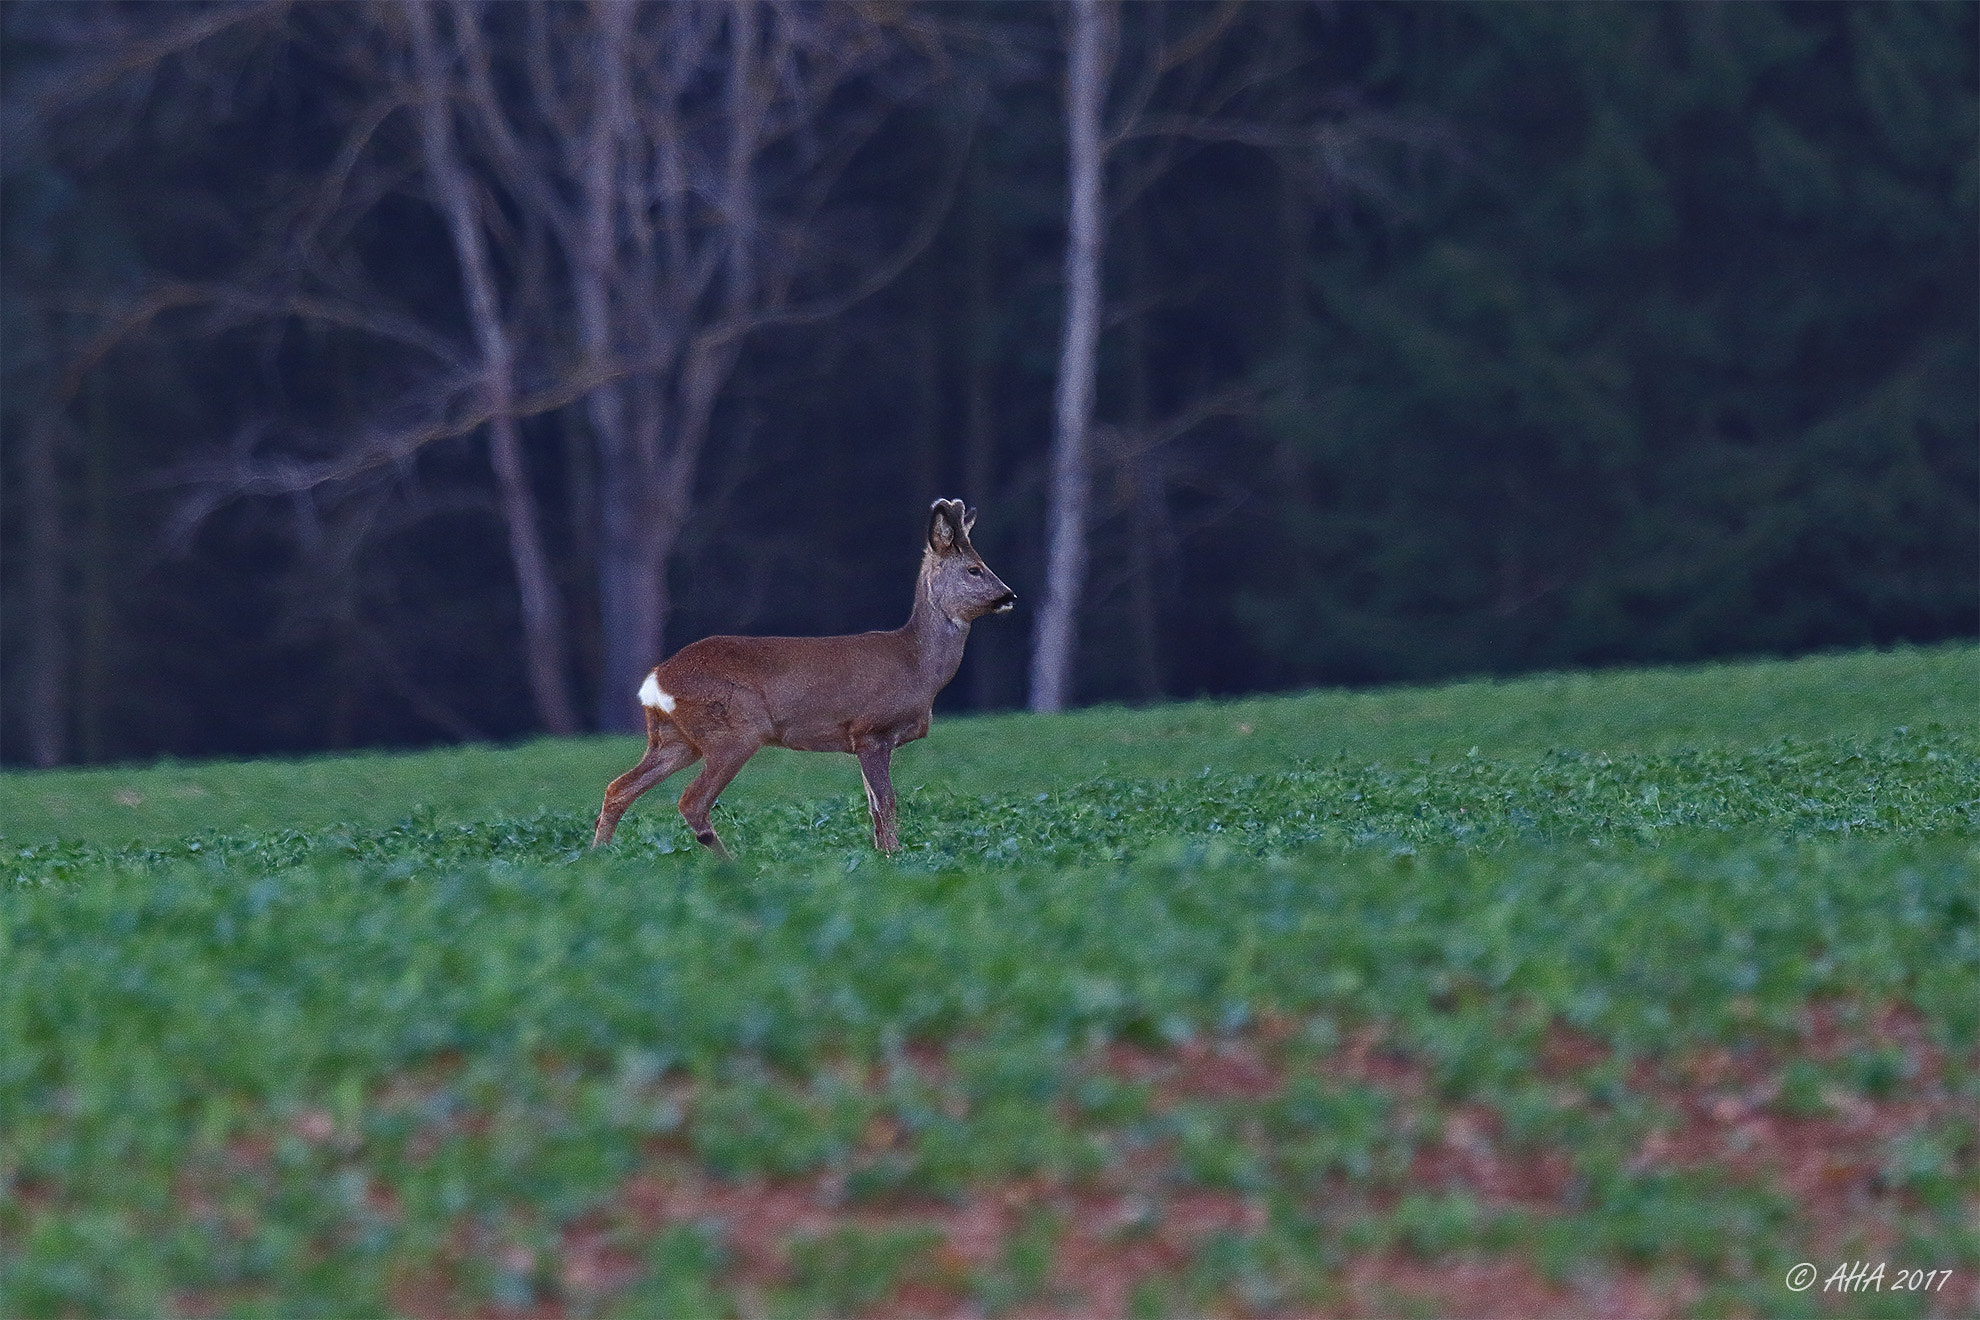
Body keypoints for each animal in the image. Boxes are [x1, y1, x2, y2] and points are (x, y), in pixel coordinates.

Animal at [586, 500, 1021, 862]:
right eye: (974, 569)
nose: (1009, 595)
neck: (916, 664)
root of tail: (655, 679)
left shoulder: (859, 741)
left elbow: (872, 806)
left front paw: (880, 857)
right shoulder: (872, 730)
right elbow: (886, 803)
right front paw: (894, 858)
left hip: (675, 739)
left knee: (618, 788)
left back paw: (597, 858)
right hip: (734, 730)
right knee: (690, 801)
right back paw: (730, 863)